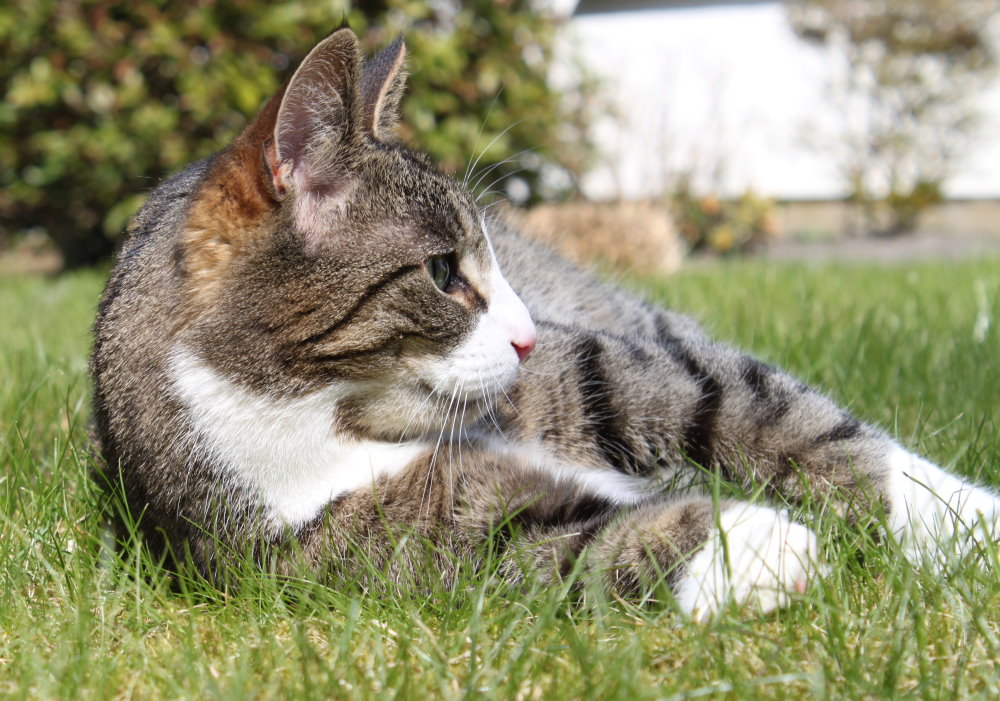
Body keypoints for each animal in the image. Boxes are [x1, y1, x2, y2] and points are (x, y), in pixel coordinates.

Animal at [90, 27, 996, 620]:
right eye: (443, 272)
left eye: (492, 254)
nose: (526, 335)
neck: (330, 416)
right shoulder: (342, 545)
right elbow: (554, 547)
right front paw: (758, 549)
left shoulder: (598, 365)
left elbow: (771, 417)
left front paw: (967, 524)